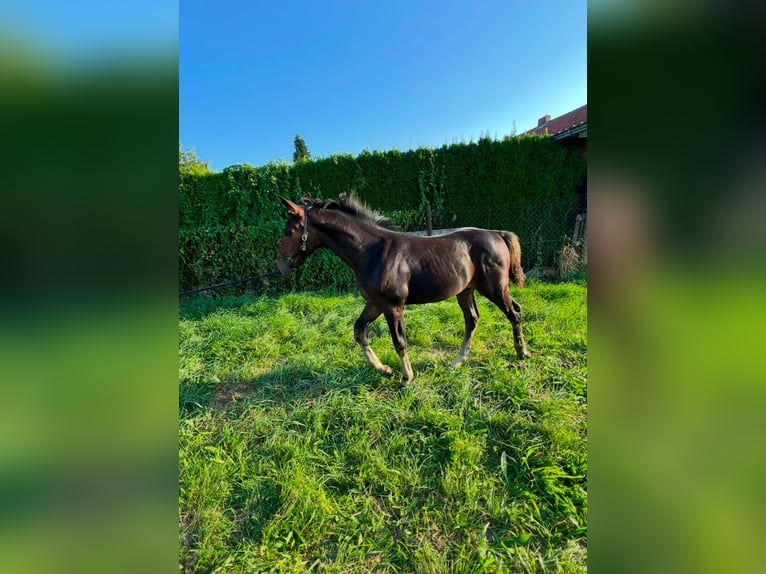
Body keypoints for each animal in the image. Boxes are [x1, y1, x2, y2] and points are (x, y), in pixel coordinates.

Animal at [278, 195, 536, 388]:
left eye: (289, 232)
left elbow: (399, 341)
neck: (371, 251)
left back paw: (522, 352)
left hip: (494, 288)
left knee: (514, 313)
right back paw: (457, 363)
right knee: (472, 319)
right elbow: (359, 331)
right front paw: (384, 370)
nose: (280, 267)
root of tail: (497, 233)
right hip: (465, 291)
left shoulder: (393, 306)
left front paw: (406, 378)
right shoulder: (375, 304)